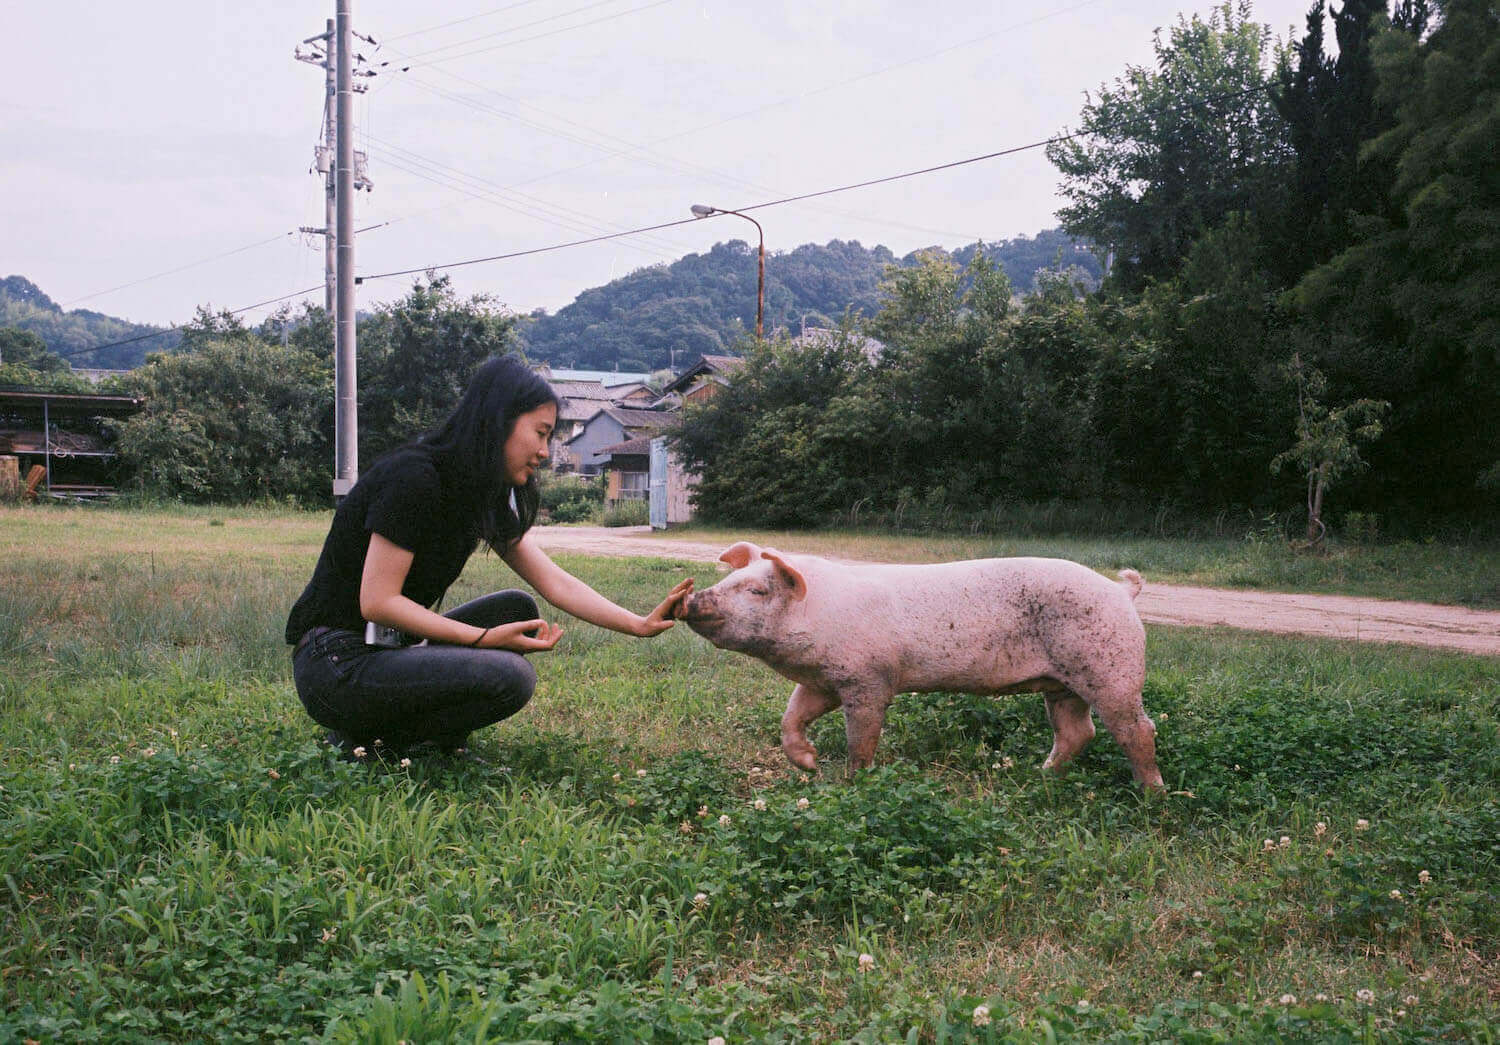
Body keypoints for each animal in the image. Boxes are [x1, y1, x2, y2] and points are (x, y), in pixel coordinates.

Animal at [675, 542, 1164, 785]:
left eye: (756, 590)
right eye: (732, 576)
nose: (690, 599)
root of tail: (1121, 591)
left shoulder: (869, 679)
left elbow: (861, 737)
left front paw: (853, 782)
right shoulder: (824, 681)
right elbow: (791, 717)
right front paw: (810, 765)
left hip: (1111, 668)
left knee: (1138, 729)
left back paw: (1151, 795)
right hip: (1061, 684)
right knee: (1079, 732)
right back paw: (1040, 777)